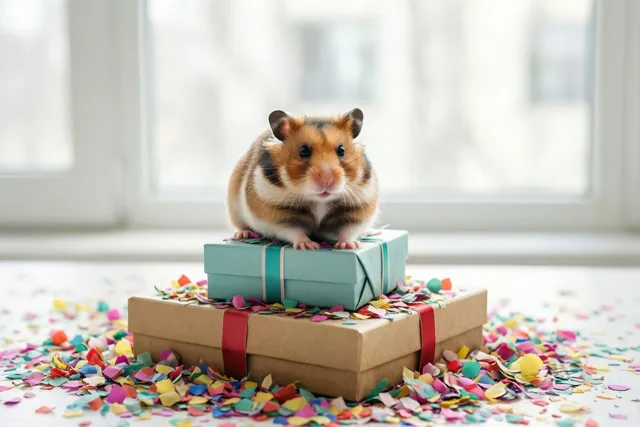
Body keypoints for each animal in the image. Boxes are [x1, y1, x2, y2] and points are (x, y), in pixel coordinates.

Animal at [227, 108, 379, 250]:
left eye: (341, 150)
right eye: (304, 151)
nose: (327, 181)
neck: (319, 201)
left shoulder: (358, 210)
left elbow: (348, 230)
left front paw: (349, 245)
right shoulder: (276, 215)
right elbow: (293, 231)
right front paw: (309, 245)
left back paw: (372, 232)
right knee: (240, 226)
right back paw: (242, 234)